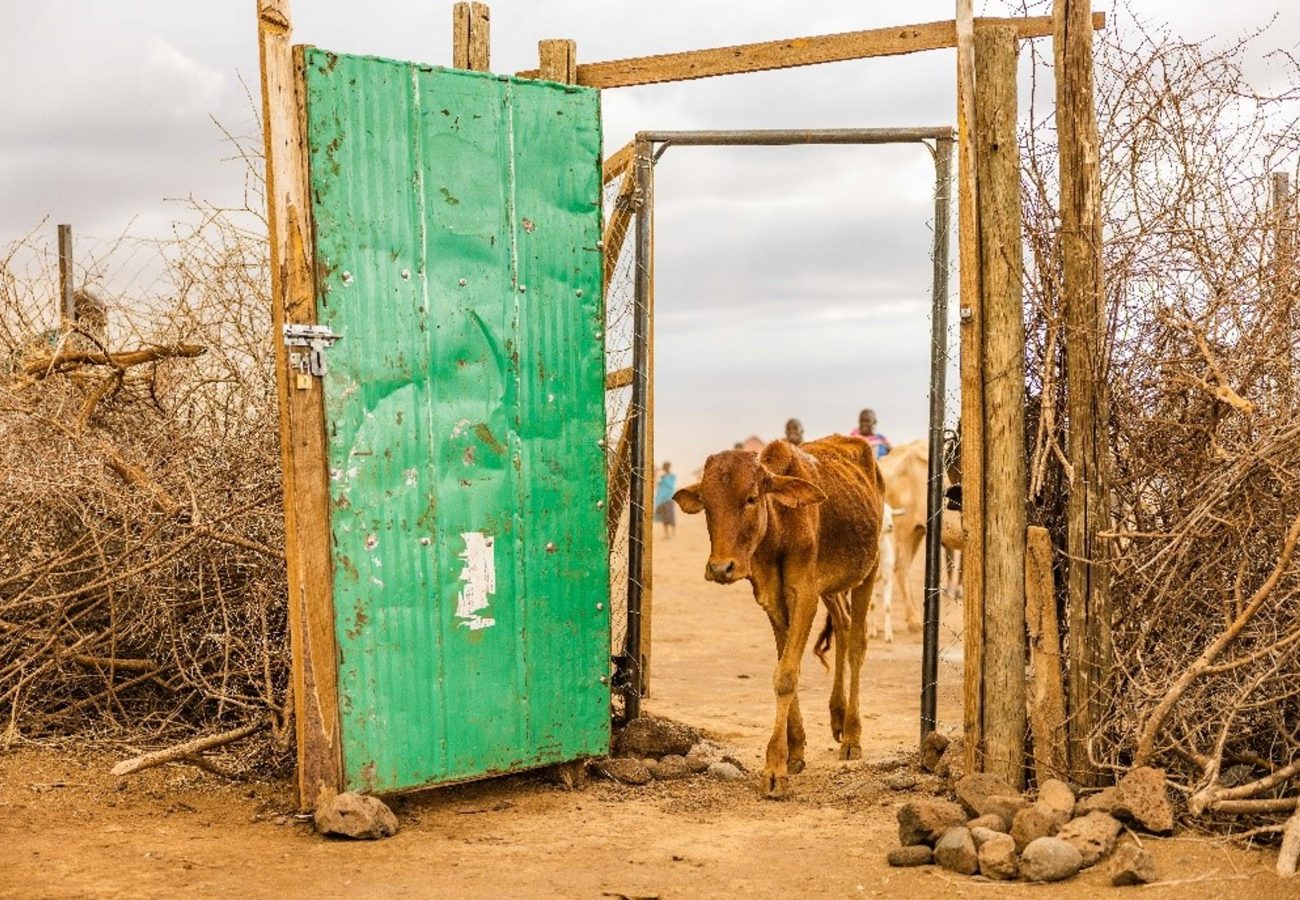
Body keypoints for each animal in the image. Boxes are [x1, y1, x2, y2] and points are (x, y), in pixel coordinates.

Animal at [673, 435, 883, 798]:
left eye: (751, 498)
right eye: (707, 504)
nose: (720, 568)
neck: (779, 529)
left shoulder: (805, 595)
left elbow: (786, 675)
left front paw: (774, 769)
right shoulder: (772, 599)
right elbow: (785, 663)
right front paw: (795, 751)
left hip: (869, 569)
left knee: (857, 644)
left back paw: (852, 735)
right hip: (832, 587)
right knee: (842, 626)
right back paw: (837, 716)